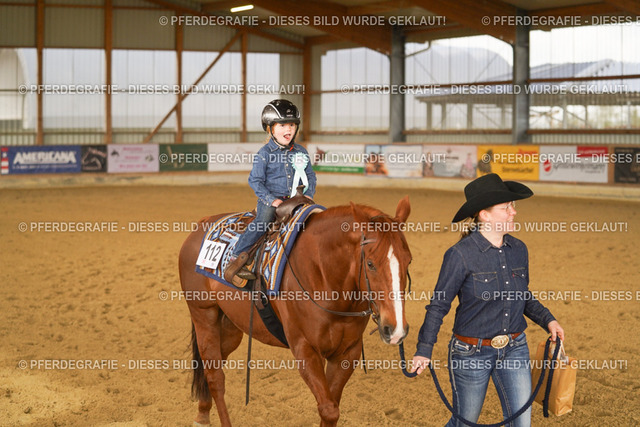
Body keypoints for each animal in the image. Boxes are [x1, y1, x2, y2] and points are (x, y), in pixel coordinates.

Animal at [178, 196, 412, 426]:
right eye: (370, 264)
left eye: (408, 260)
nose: (396, 330)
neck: (323, 275)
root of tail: (201, 225)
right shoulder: (305, 349)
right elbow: (329, 409)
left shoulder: (347, 353)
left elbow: (332, 406)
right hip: (204, 314)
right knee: (214, 376)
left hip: (229, 327)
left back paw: (202, 414)